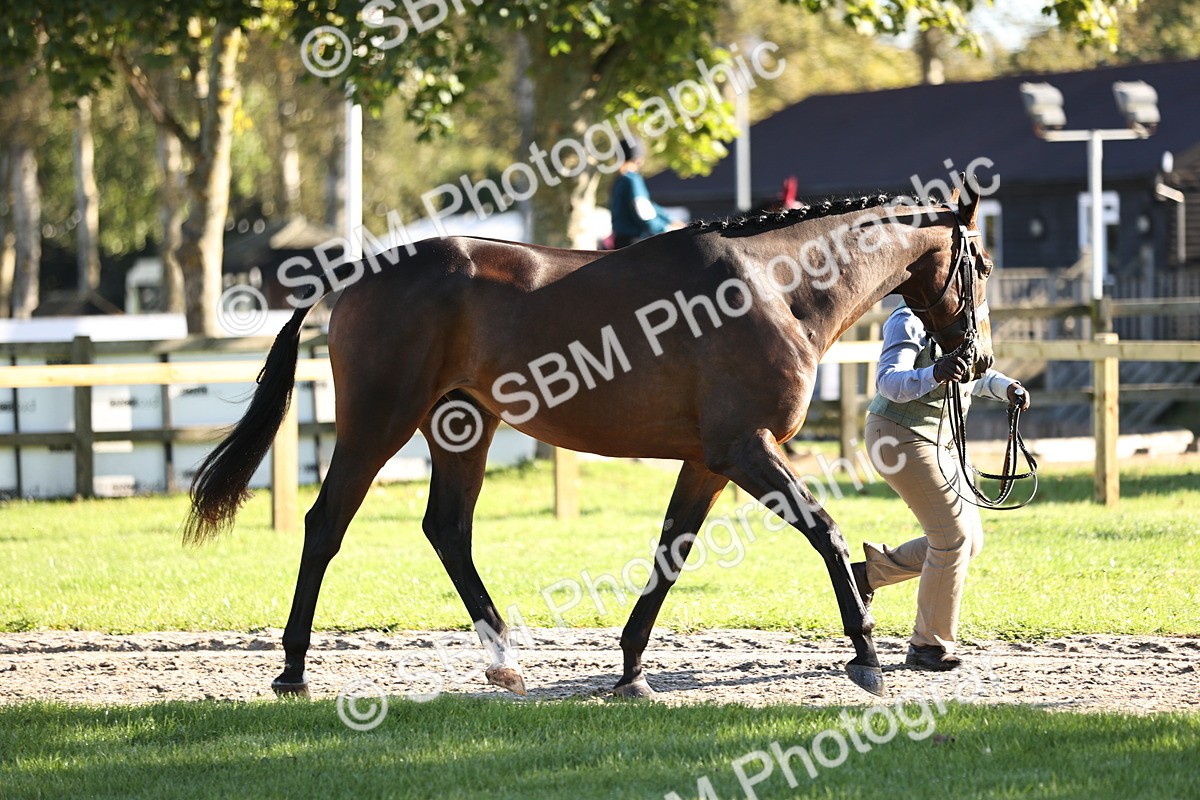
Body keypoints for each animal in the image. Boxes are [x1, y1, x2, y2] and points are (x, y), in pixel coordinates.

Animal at [184, 188, 995, 700]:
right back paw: (293, 670)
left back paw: (505, 664)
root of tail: (354, 275)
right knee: (326, 526)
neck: (774, 286)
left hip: (461, 428)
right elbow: (825, 531)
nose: (975, 359)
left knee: (447, 530)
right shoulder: (746, 449)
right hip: (378, 424)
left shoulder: (707, 462)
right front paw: (866, 654)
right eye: (980, 265)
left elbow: (671, 554)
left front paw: (632, 670)